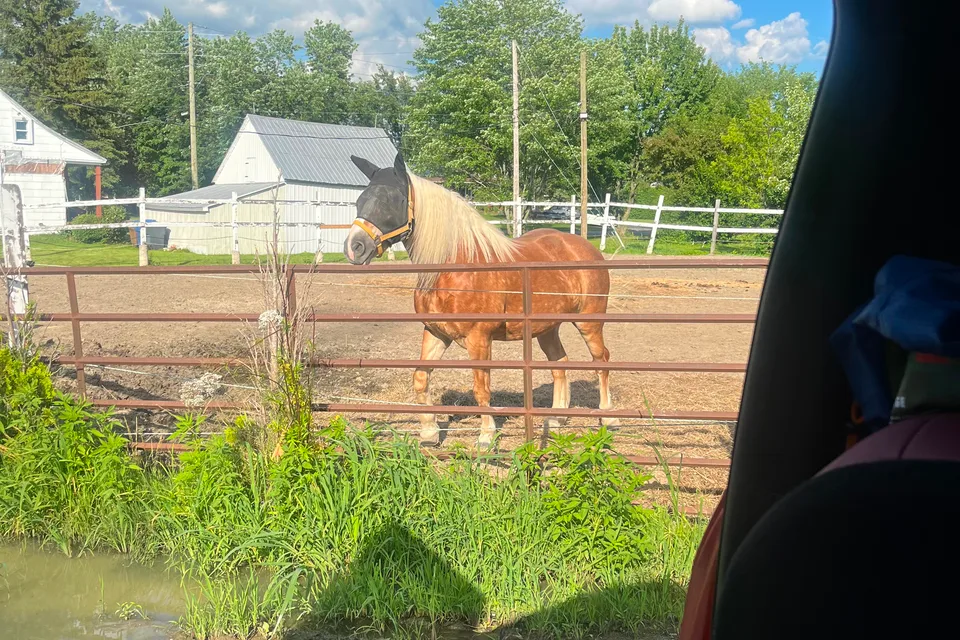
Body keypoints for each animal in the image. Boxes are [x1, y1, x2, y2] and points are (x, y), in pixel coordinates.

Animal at [343, 152, 615, 448]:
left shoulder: (479, 339)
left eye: (391, 200)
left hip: (590, 322)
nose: (354, 247)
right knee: (559, 364)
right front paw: (429, 433)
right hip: (547, 328)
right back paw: (555, 420)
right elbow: (420, 378)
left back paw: (608, 418)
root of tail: (586, 248)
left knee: (602, 360)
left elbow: (481, 388)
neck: (454, 266)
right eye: (360, 200)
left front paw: (486, 437)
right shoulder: (436, 333)